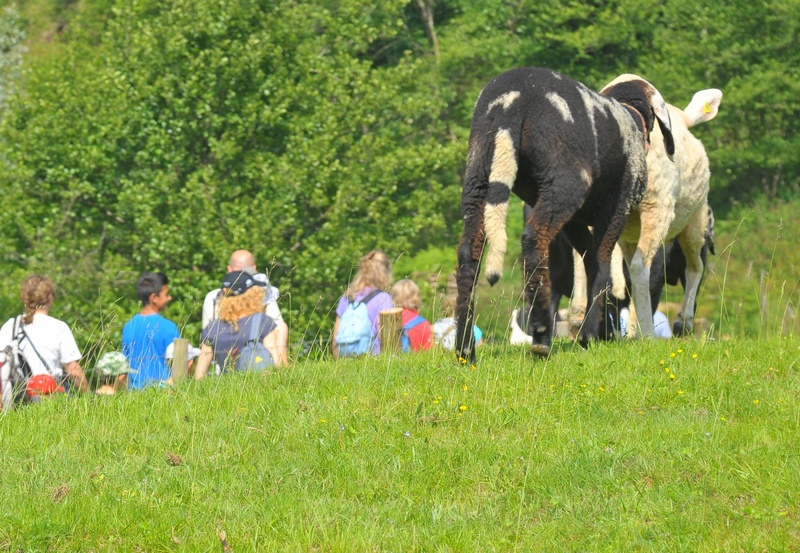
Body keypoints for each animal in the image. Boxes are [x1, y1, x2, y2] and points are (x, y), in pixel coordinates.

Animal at [455, 67, 674, 363]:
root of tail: (509, 103)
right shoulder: (616, 208)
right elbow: (601, 261)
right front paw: (590, 334)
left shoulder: (576, 221)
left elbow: (591, 259)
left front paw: (598, 330)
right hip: (565, 182)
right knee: (534, 240)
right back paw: (540, 337)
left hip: (479, 177)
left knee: (469, 254)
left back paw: (465, 348)